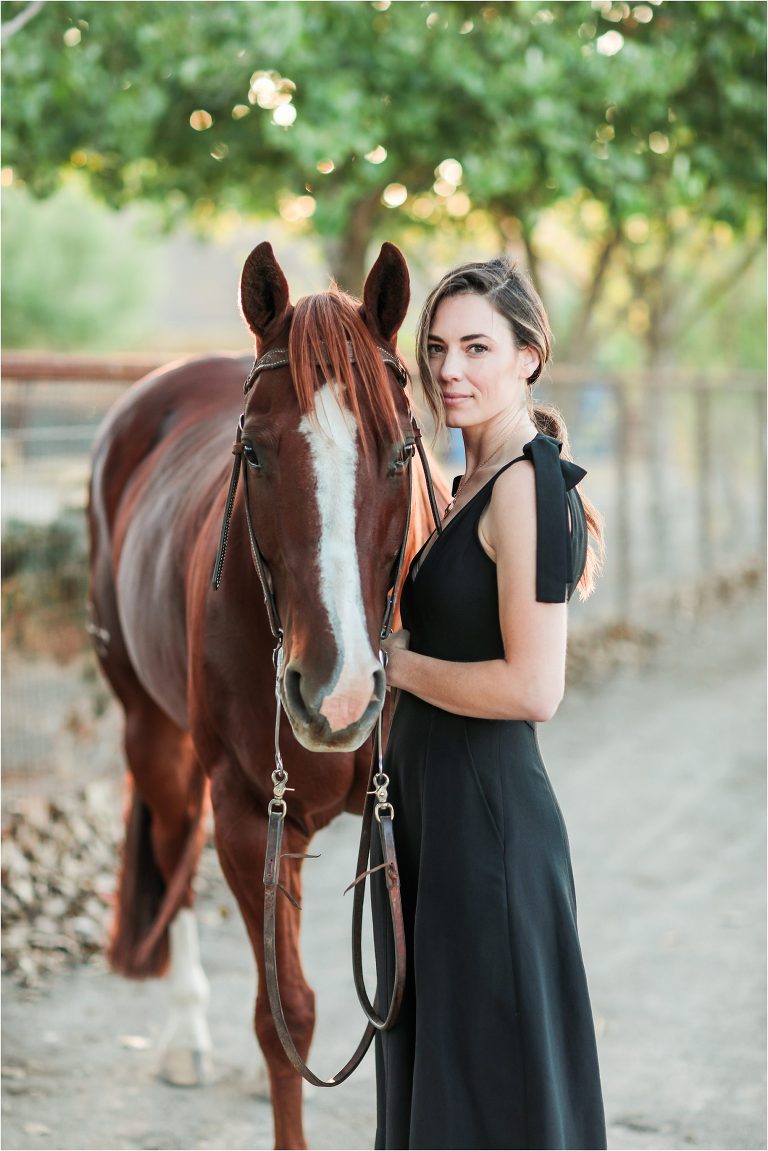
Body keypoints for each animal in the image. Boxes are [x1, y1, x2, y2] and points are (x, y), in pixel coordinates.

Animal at [87, 240, 449, 1150]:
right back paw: (186, 1034)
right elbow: (285, 1009)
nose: (337, 691)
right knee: (176, 852)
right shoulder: (251, 813)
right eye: (251, 452)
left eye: (402, 452)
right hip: (155, 736)